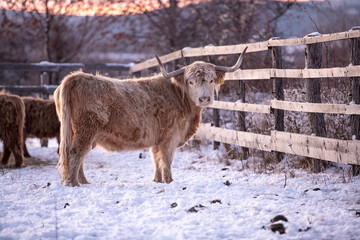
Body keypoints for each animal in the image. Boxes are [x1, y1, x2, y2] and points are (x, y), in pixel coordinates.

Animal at [55, 46, 248, 186]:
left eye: (210, 80)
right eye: (190, 81)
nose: (204, 98)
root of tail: (77, 77)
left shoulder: (157, 139)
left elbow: (156, 159)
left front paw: (157, 180)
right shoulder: (170, 138)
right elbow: (167, 160)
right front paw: (169, 181)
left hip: (77, 131)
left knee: (79, 156)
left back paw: (83, 181)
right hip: (86, 129)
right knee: (76, 153)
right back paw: (73, 183)